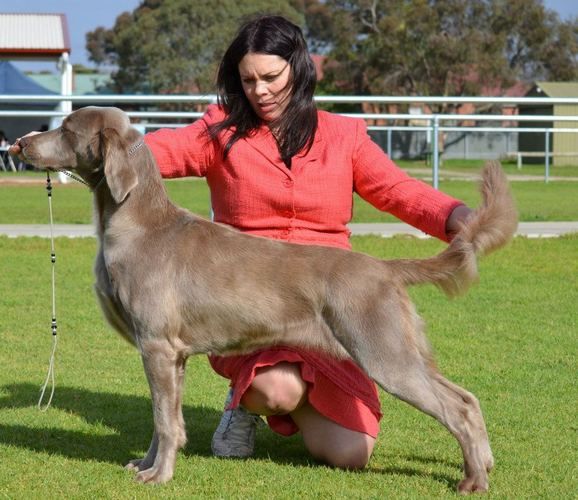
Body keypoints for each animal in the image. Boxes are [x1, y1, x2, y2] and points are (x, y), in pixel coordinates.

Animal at [15, 106, 517, 493]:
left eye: (66, 128)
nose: (19, 143)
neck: (139, 224)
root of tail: (386, 267)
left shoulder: (156, 344)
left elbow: (163, 419)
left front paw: (158, 477)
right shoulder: (172, 355)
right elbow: (167, 419)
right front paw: (147, 464)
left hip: (383, 352)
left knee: (455, 408)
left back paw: (474, 481)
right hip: (401, 348)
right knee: (467, 398)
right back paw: (484, 463)